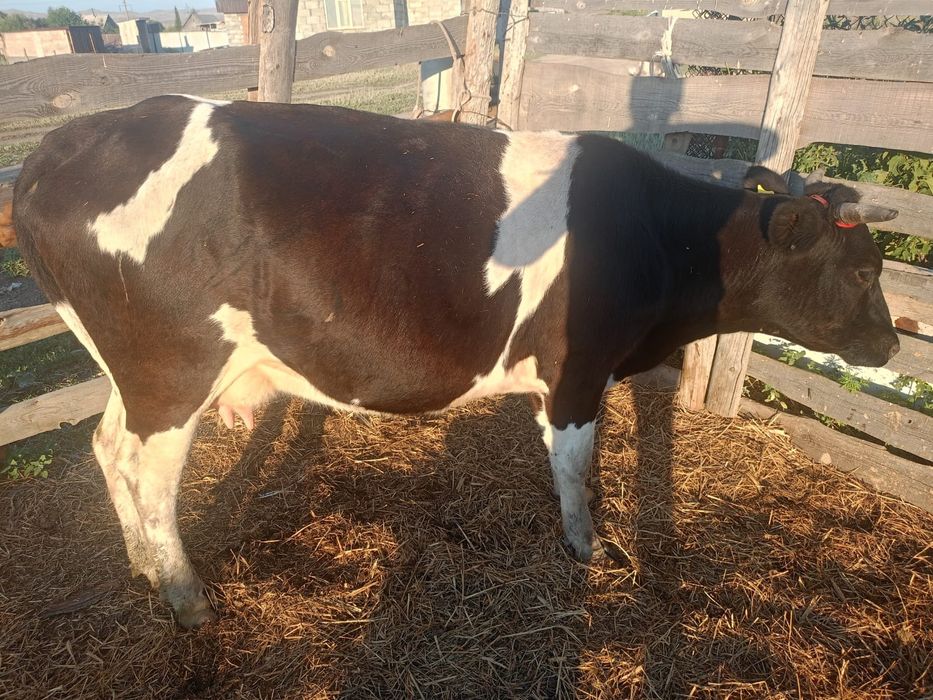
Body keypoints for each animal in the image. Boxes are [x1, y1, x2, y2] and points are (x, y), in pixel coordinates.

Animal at [13, 95, 900, 628]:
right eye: (862, 272)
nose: (892, 345)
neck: (657, 235)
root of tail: (71, 140)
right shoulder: (576, 369)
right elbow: (573, 467)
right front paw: (585, 549)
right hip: (175, 371)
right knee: (151, 477)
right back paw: (185, 594)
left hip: (130, 371)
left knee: (107, 447)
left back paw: (140, 565)